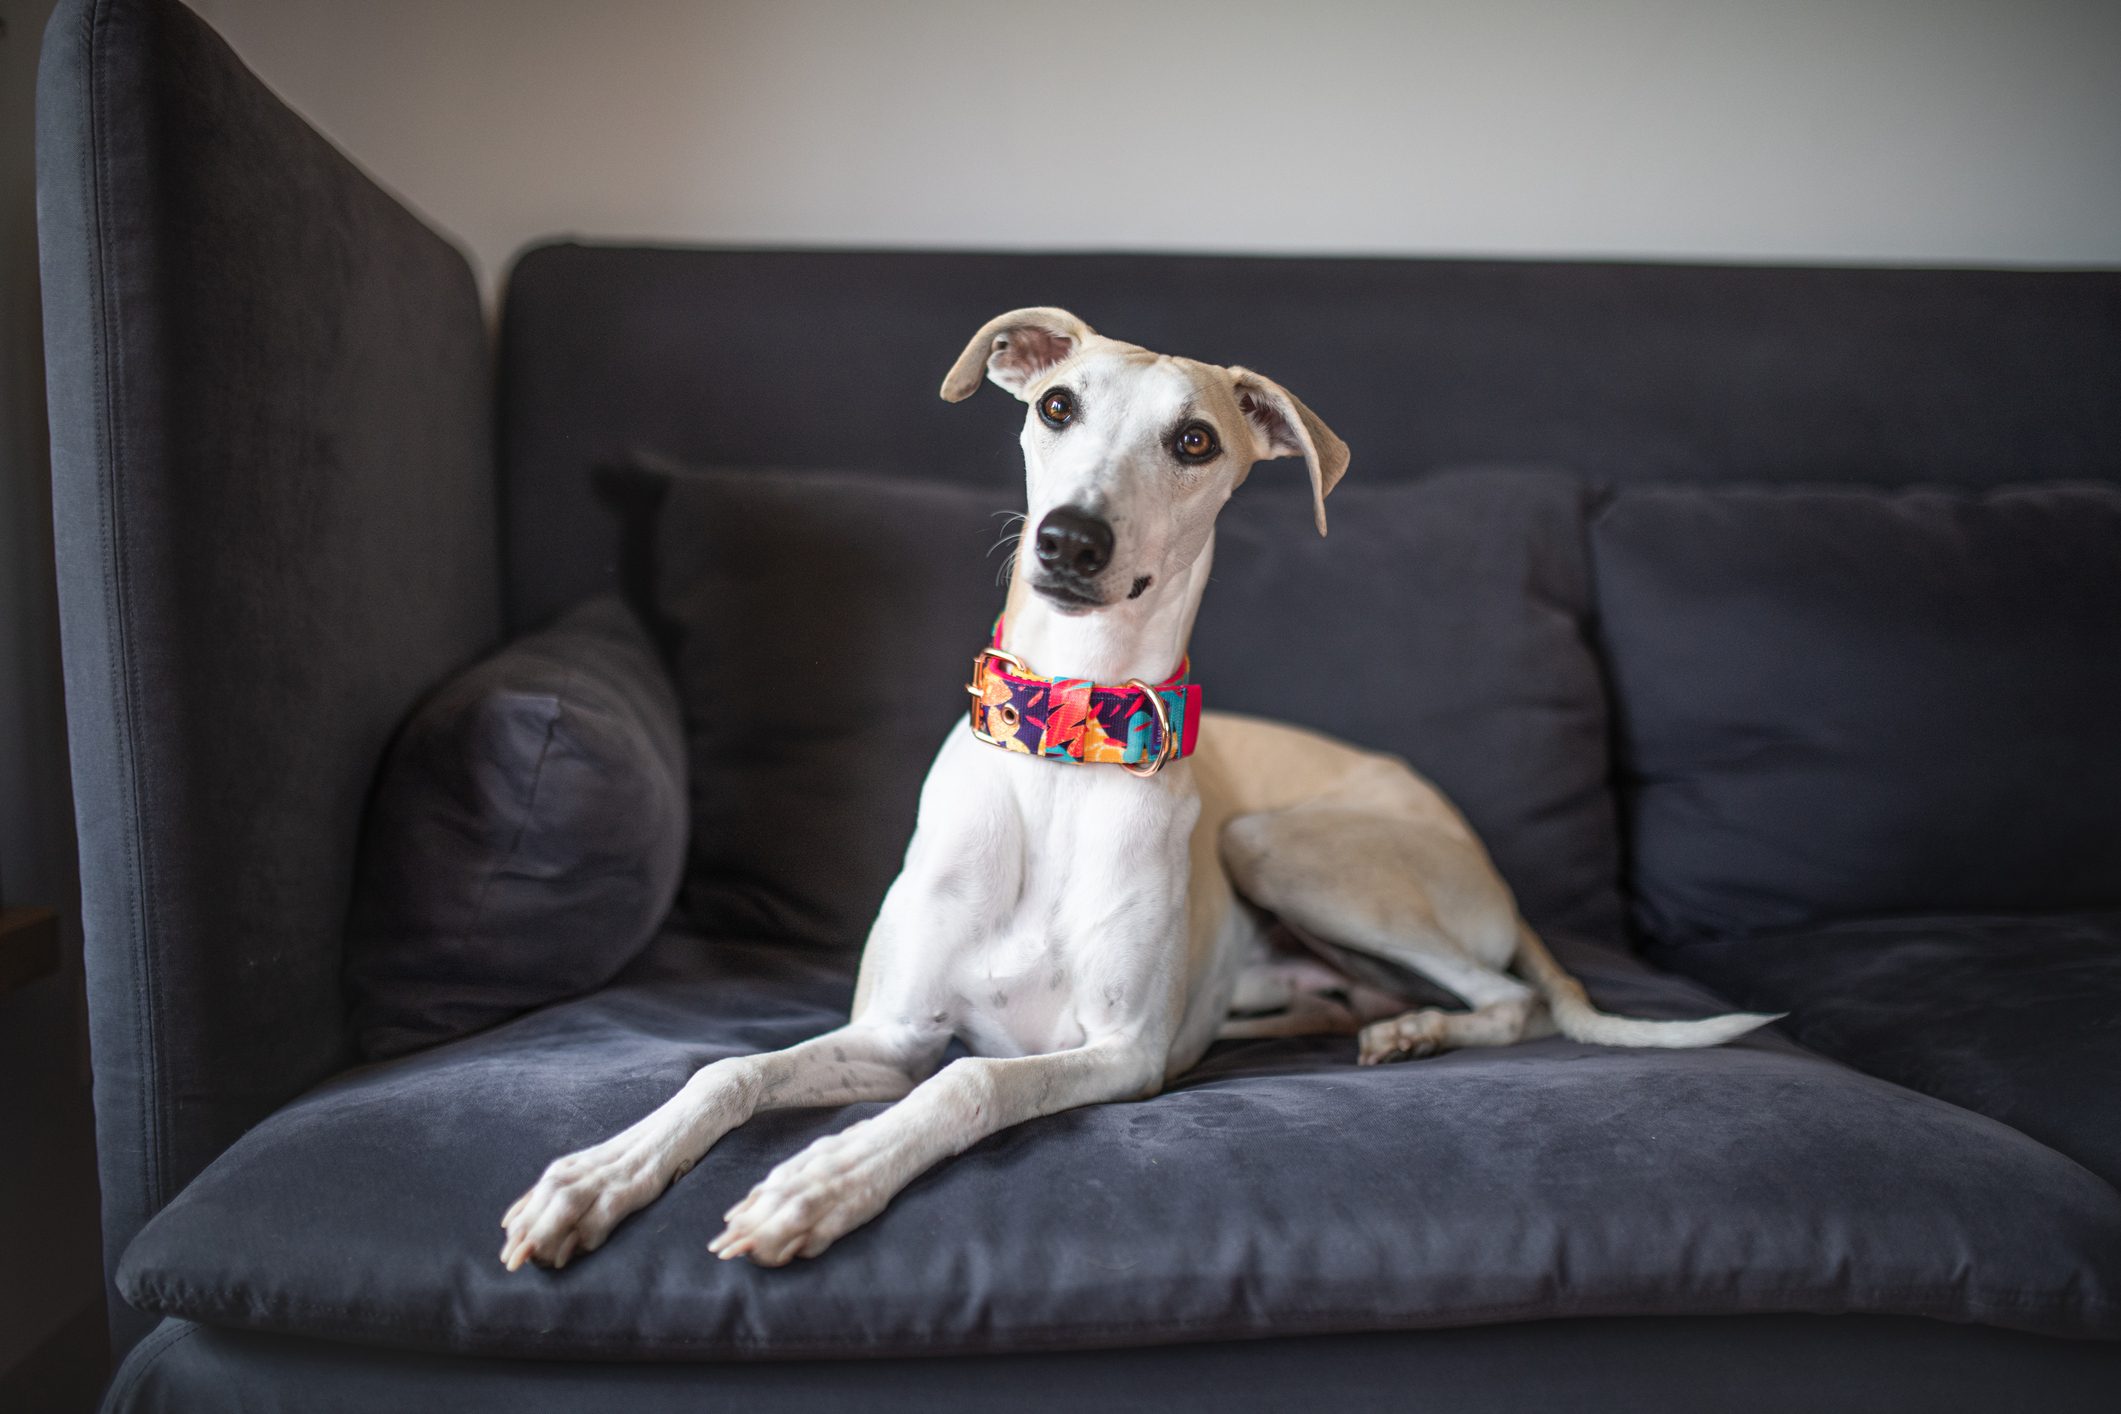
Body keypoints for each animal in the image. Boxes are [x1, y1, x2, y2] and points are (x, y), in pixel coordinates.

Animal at [496, 307, 1773, 1271]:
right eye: (1056, 406)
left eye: (1197, 441)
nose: (1071, 540)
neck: (1069, 740)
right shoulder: (892, 1030)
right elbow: (734, 1069)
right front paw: (596, 1174)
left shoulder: (1116, 1054)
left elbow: (963, 1087)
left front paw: (831, 1174)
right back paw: (1355, 1017)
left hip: (1277, 845)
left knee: (1506, 998)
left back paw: (1414, 1025)